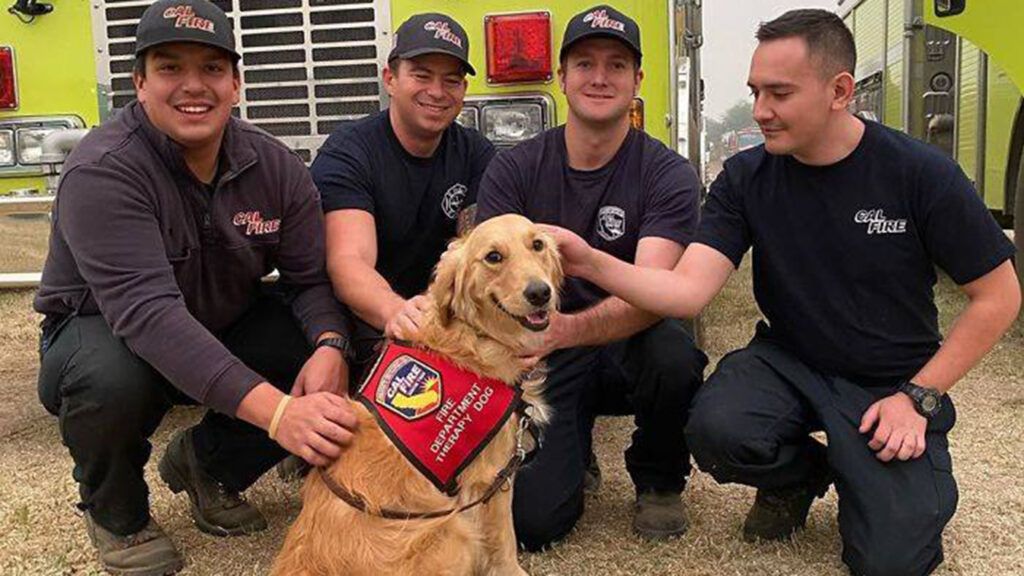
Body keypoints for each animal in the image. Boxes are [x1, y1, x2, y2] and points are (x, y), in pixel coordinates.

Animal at [268, 214, 565, 573]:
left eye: (537, 244)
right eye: (493, 257)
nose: (540, 292)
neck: (473, 337)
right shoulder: (492, 476)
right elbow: (504, 541)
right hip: (453, 531)